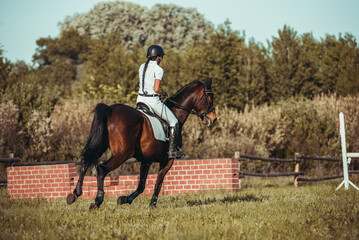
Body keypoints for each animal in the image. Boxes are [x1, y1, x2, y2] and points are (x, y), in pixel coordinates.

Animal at [66, 78, 218, 209]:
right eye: (210, 99)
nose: (214, 119)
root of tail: (110, 110)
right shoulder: (168, 160)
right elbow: (158, 183)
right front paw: (152, 205)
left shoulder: (146, 160)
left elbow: (141, 185)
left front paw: (125, 199)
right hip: (122, 154)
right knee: (102, 169)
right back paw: (97, 201)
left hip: (101, 145)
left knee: (86, 161)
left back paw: (75, 194)